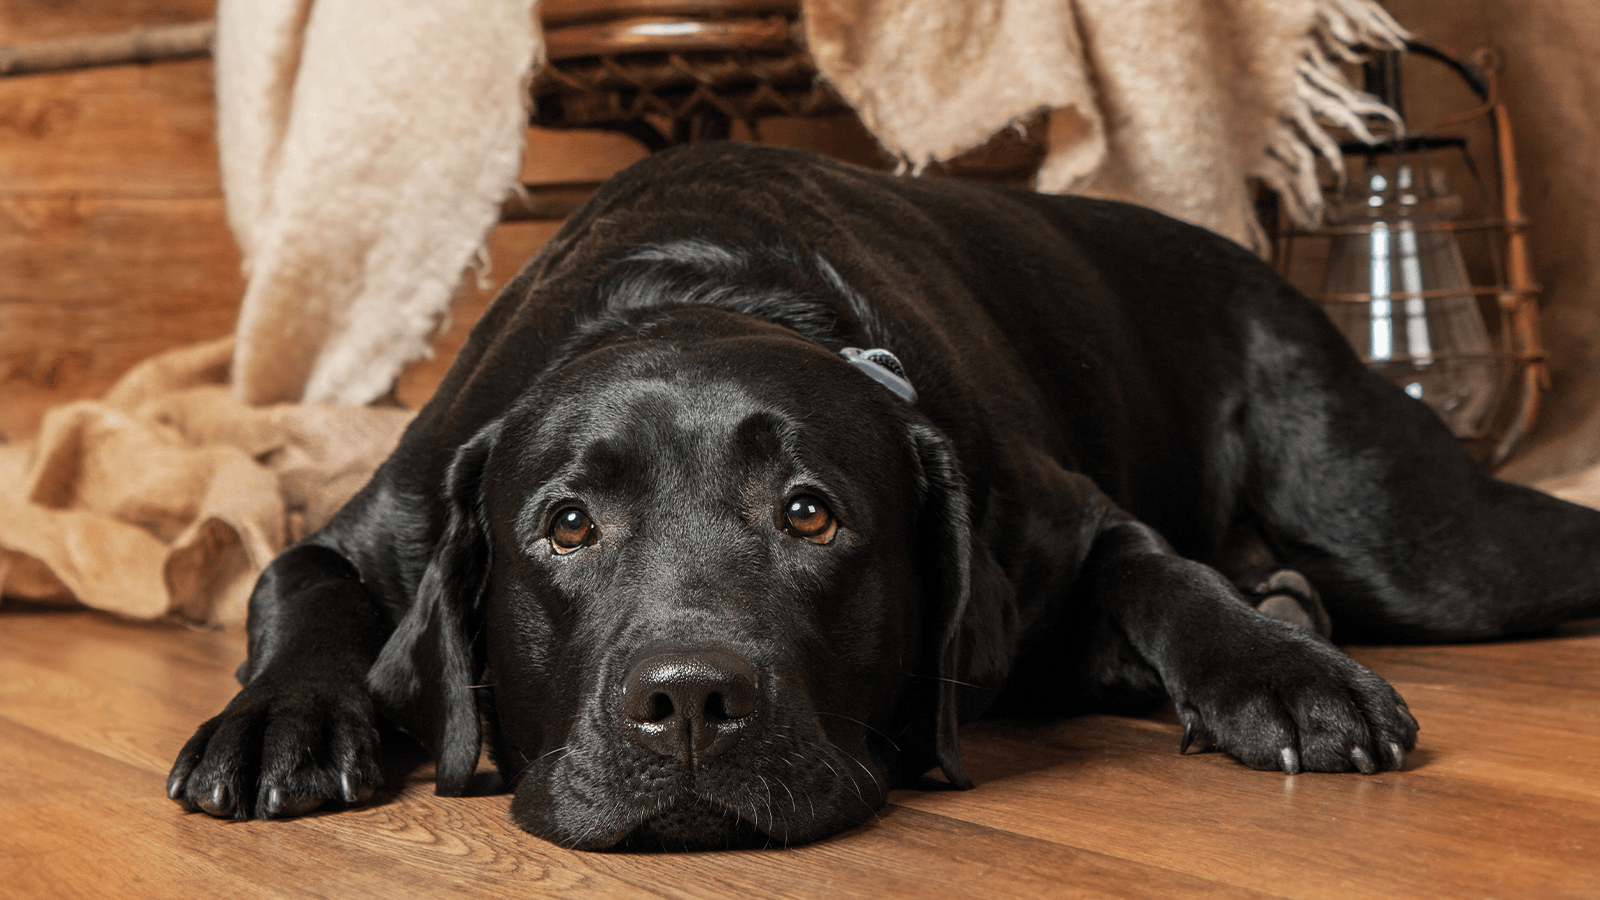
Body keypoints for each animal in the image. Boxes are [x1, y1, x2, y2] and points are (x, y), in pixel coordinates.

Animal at [165, 141, 1600, 845]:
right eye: (564, 528)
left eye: (811, 513)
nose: (691, 705)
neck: (695, 289)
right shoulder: (378, 525)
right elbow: (295, 587)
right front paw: (275, 724)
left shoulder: (1055, 515)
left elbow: (1165, 573)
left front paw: (1276, 670)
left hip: (1415, 543)